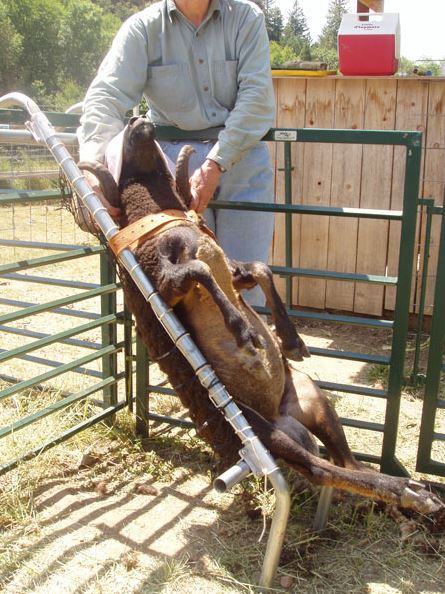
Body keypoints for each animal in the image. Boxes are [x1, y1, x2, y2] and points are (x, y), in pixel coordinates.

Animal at [76, 114, 444, 520]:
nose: (138, 118)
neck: (156, 214)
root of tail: (281, 417)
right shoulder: (161, 283)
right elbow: (201, 271)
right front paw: (243, 333)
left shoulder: (227, 270)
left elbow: (260, 269)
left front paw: (291, 340)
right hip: (258, 430)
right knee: (320, 468)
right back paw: (411, 493)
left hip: (310, 396)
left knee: (343, 462)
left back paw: (408, 494)